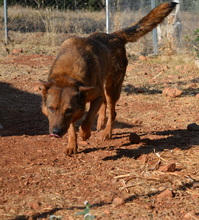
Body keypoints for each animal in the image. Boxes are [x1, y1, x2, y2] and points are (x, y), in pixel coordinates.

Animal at [41, 1, 178, 155]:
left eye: (68, 110)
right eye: (51, 108)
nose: (55, 132)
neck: (68, 75)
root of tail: (114, 35)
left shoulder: (96, 96)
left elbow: (87, 120)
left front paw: (85, 134)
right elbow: (72, 128)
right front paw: (71, 145)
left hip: (112, 89)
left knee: (112, 112)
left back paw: (107, 132)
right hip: (107, 86)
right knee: (105, 105)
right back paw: (101, 121)